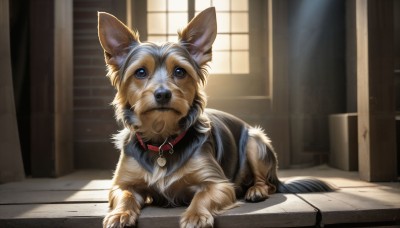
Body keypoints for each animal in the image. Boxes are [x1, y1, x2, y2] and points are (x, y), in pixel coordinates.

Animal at [97, 7, 332, 228]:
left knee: (269, 183)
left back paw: (255, 190)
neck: (162, 138)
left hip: (255, 141)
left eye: (180, 71)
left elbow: (201, 195)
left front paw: (195, 216)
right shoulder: (122, 183)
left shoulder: (218, 183)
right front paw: (119, 214)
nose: (163, 94)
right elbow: (125, 195)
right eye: (140, 72)